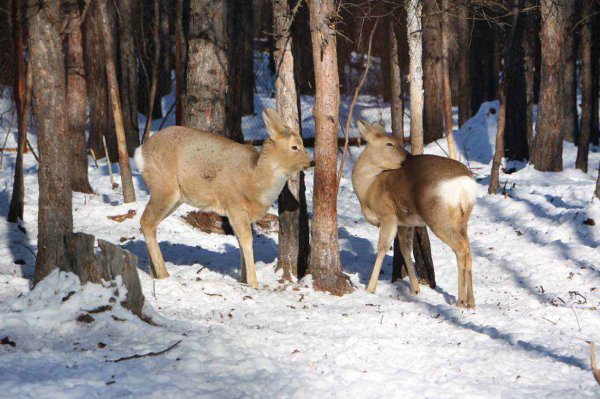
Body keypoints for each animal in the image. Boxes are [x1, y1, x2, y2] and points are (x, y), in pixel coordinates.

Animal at [136, 109, 314, 290]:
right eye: (294, 146)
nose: (312, 161)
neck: (254, 181)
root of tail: (140, 152)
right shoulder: (234, 204)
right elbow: (246, 239)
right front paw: (254, 283)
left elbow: (240, 240)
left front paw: (243, 279)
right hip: (164, 187)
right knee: (146, 221)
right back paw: (163, 274)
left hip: (174, 197)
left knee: (149, 224)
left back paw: (154, 272)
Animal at [352, 120, 478, 308]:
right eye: (389, 143)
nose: (407, 157)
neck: (368, 188)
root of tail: (465, 184)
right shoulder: (405, 222)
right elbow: (405, 249)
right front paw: (415, 289)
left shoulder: (388, 215)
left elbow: (382, 247)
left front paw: (370, 288)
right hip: (462, 220)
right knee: (468, 249)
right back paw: (472, 302)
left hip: (439, 219)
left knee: (461, 249)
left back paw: (460, 301)